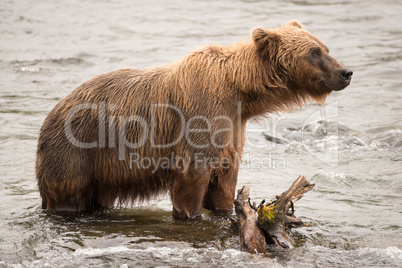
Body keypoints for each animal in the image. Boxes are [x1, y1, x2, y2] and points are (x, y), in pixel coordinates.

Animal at [37, 21, 352, 218]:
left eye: (325, 47)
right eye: (314, 52)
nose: (346, 72)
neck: (241, 93)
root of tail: (52, 112)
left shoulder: (232, 127)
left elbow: (225, 179)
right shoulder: (201, 116)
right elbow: (193, 178)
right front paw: (191, 213)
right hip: (75, 154)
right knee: (69, 196)